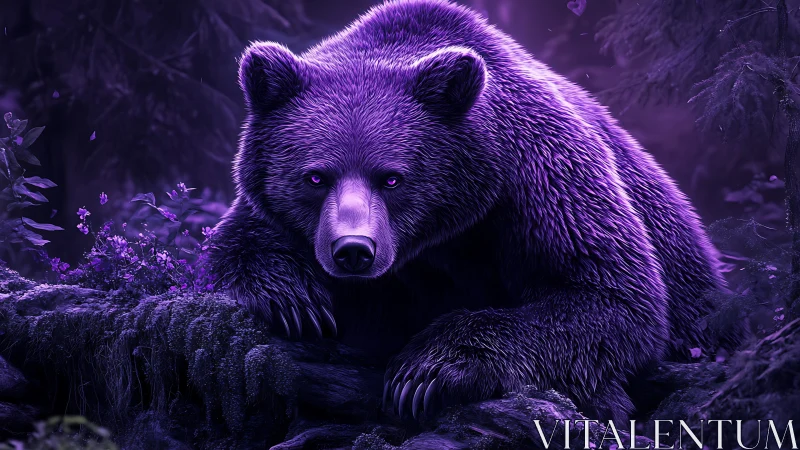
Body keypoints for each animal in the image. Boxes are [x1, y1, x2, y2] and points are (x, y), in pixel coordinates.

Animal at [209, 0, 724, 422]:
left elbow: (608, 295)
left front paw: (425, 371)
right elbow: (241, 239)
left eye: (392, 177)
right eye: (315, 177)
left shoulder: (536, 177)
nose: (353, 250)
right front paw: (295, 302)